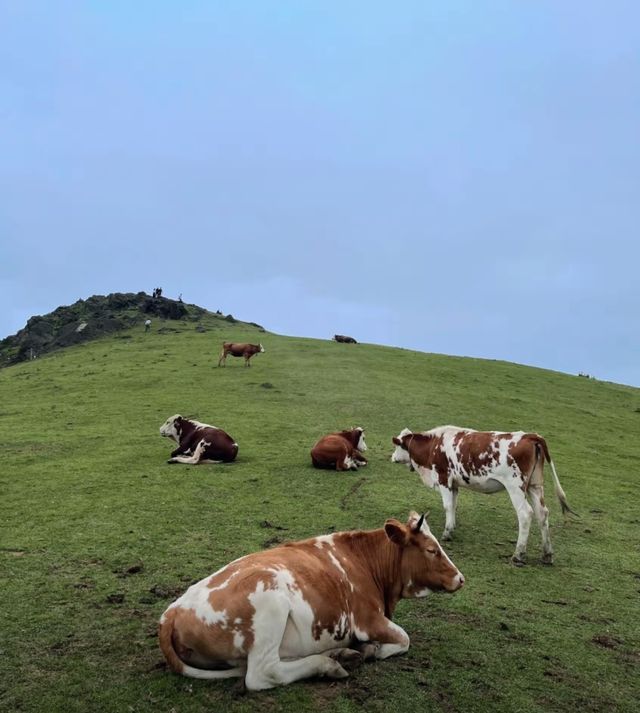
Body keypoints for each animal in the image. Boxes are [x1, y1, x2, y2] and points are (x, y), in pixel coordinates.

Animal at [158, 512, 462, 688]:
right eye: (432, 550)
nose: (460, 578)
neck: (363, 559)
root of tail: (172, 612)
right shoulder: (367, 619)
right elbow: (403, 639)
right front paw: (372, 649)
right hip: (271, 605)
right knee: (263, 674)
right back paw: (328, 665)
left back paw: (339, 655)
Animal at [390, 426, 576, 564]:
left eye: (397, 445)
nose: (392, 457)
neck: (434, 444)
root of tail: (530, 436)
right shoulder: (455, 484)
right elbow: (454, 506)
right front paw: (452, 527)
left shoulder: (444, 479)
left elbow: (448, 506)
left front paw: (447, 533)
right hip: (535, 486)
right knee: (542, 514)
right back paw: (547, 554)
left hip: (515, 487)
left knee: (525, 514)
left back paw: (518, 554)